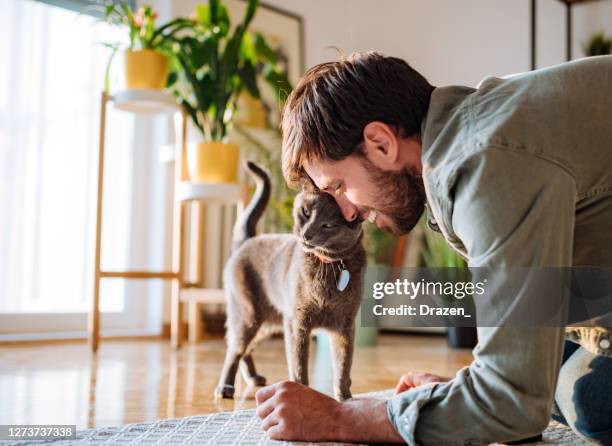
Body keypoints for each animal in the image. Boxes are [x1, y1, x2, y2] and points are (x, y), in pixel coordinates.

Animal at [216, 160, 364, 400]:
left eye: (328, 225)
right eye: (305, 212)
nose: (306, 234)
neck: (328, 266)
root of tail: (247, 240)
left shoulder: (345, 325)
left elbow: (343, 366)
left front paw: (345, 399)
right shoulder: (297, 323)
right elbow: (298, 364)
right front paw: (300, 392)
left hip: (268, 324)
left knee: (245, 348)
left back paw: (253, 377)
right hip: (248, 314)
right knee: (234, 348)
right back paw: (226, 387)